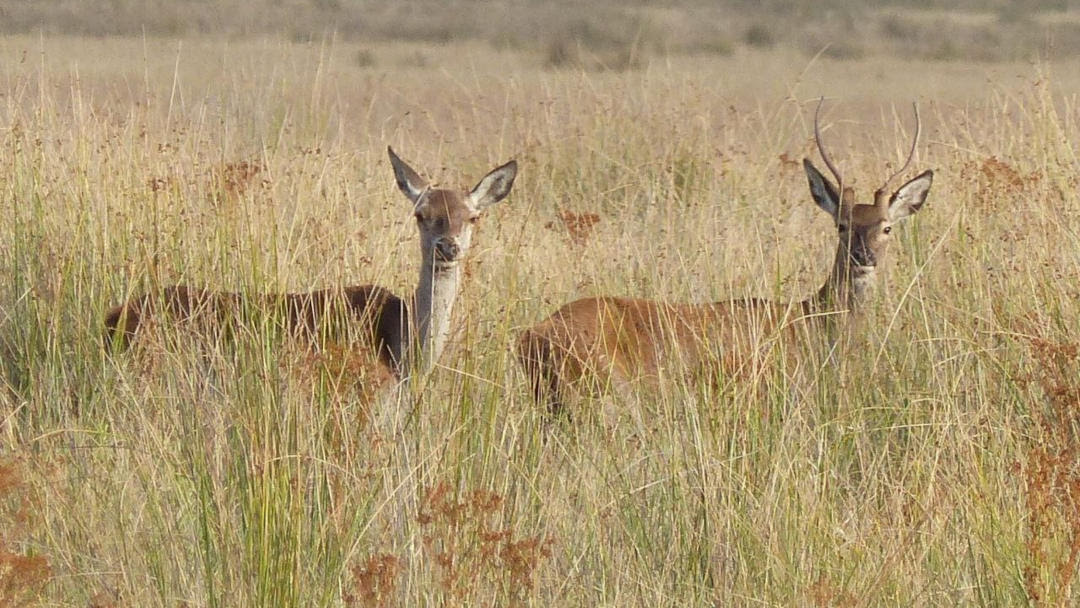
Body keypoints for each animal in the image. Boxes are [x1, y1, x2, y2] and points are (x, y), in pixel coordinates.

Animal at [518, 100, 933, 423]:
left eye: (886, 227)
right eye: (842, 225)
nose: (864, 257)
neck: (811, 325)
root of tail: (533, 336)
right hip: (607, 397)